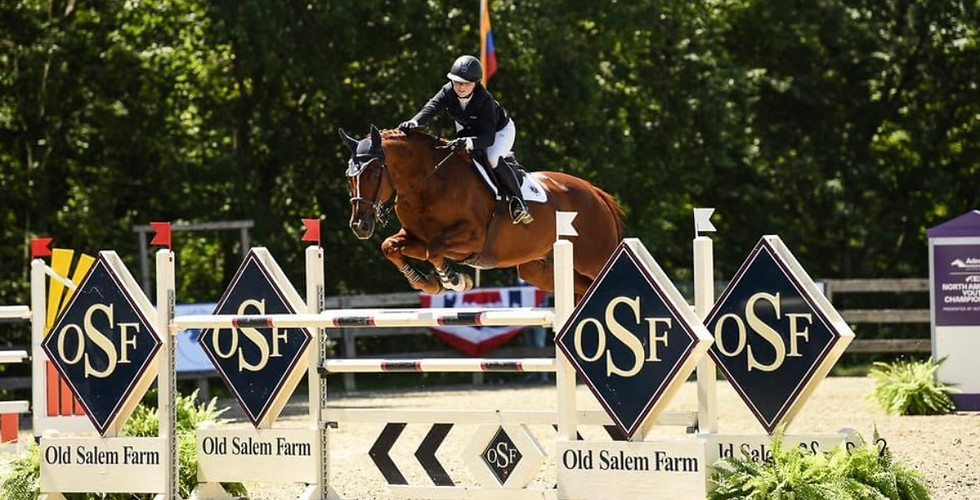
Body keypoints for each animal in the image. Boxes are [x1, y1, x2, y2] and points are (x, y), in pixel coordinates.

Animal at [338, 125, 625, 299]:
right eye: (348, 177)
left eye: (373, 173)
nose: (359, 226)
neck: (428, 183)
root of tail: (595, 192)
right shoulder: (415, 239)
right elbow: (390, 246)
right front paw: (426, 283)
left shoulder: (471, 238)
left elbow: (435, 250)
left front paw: (455, 280)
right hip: (539, 270)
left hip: (595, 258)